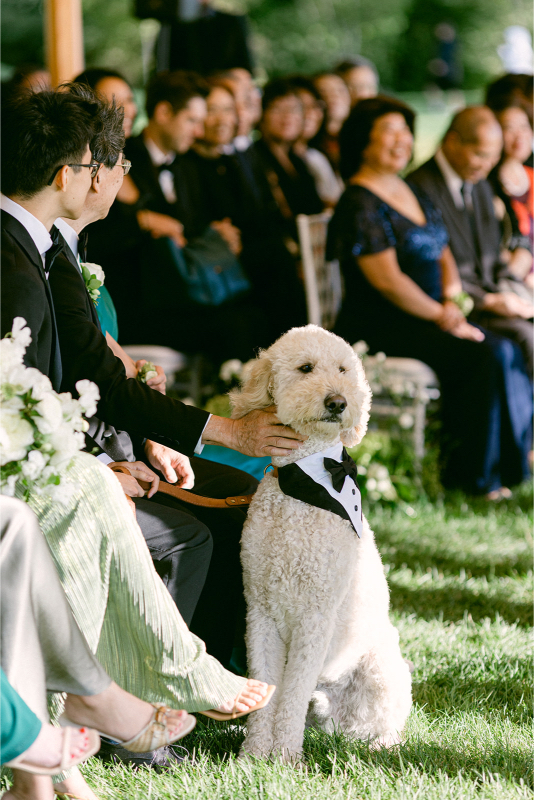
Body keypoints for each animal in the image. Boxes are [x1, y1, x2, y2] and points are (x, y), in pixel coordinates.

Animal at [231, 324, 414, 764]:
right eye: (305, 368)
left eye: (344, 369)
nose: (338, 402)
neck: (301, 486)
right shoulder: (260, 613)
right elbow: (268, 688)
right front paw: (254, 755)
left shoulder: (315, 617)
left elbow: (292, 694)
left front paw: (283, 757)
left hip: (383, 669)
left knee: (384, 725)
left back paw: (382, 744)